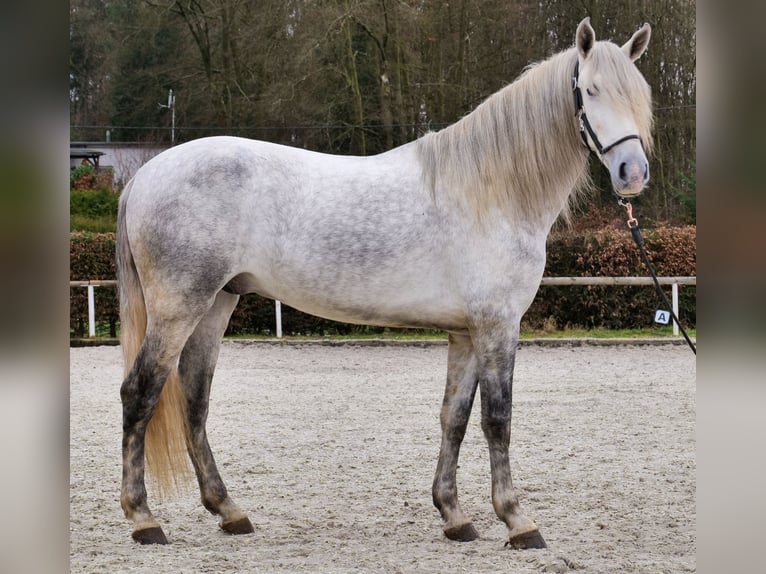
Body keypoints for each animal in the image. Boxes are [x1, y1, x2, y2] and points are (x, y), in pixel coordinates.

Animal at [117, 17, 653, 548]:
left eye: (639, 94)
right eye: (591, 89)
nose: (632, 173)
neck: (492, 192)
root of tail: (144, 174)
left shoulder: (465, 332)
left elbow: (454, 417)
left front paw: (454, 515)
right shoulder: (498, 326)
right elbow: (497, 419)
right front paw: (517, 520)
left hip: (215, 305)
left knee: (194, 399)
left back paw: (228, 510)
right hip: (178, 308)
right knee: (140, 392)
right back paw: (143, 518)